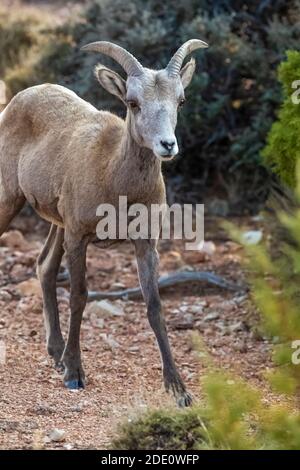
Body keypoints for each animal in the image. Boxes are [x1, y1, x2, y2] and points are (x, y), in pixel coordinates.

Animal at [0, 38, 206, 406]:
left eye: (180, 100)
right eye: (133, 103)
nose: (167, 145)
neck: (113, 174)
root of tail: (17, 99)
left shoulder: (145, 244)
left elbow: (154, 306)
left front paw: (179, 390)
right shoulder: (79, 237)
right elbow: (79, 296)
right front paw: (74, 374)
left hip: (57, 224)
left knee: (45, 267)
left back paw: (55, 352)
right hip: (11, 200)